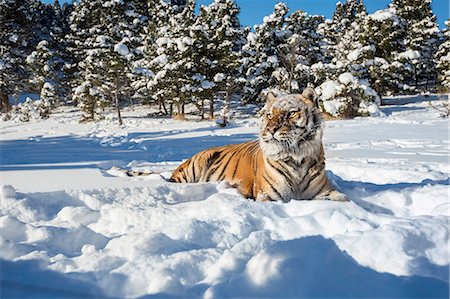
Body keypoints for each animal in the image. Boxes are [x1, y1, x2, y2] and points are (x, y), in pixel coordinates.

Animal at [169, 88, 348, 203]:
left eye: (291, 113)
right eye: (269, 115)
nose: (271, 129)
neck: (296, 158)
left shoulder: (324, 191)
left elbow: (344, 199)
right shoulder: (268, 195)